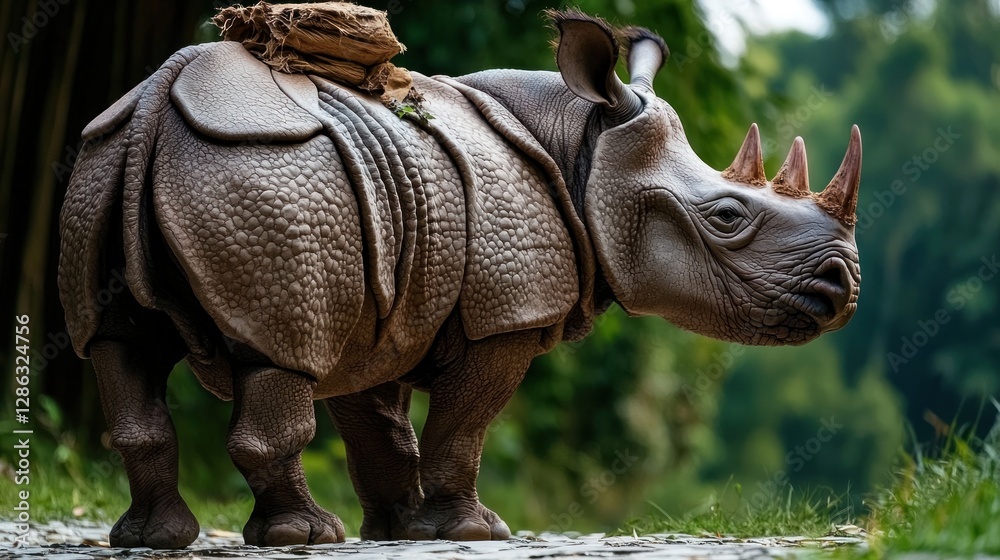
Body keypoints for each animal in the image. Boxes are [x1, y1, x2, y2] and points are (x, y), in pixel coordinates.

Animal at [58, 9, 862, 549]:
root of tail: (159, 97)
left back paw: (152, 540)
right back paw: (305, 537)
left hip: (110, 166)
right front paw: (474, 530)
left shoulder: (383, 289)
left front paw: (396, 530)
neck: (582, 145)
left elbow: (379, 422)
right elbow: (465, 422)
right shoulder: (505, 308)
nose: (842, 286)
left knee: (117, 345)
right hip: (266, 181)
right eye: (728, 216)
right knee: (282, 356)